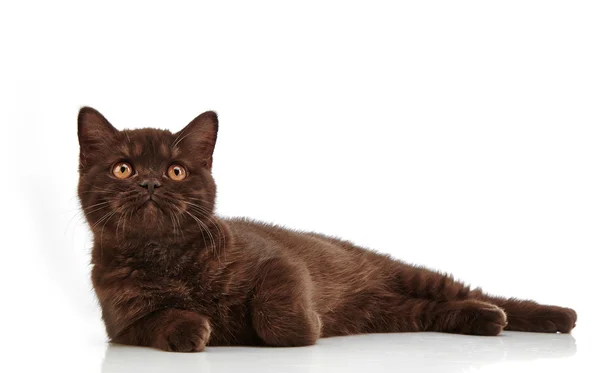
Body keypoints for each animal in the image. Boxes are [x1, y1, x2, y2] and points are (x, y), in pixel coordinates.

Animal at [78, 106, 576, 350]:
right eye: (123, 168)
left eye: (177, 171)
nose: (150, 182)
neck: (167, 257)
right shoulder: (121, 323)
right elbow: (159, 320)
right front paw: (191, 328)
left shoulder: (281, 263)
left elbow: (276, 313)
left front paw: (307, 325)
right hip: (400, 314)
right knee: (441, 310)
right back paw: (487, 320)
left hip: (411, 275)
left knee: (479, 294)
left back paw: (552, 316)